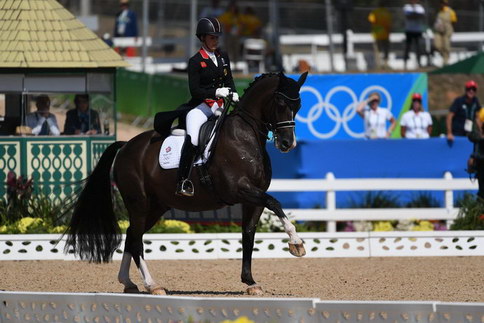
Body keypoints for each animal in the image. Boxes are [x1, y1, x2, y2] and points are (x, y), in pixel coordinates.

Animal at [65, 71, 306, 296]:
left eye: (299, 105)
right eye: (281, 103)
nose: (288, 144)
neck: (245, 137)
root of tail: (126, 146)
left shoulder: (253, 198)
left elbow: (248, 234)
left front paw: (250, 282)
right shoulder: (239, 190)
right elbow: (274, 203)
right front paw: (296, 243)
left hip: (156, 206)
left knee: (132, 235)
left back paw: (128, 282)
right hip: (138, 203)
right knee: (136, 241)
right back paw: (152, 285)